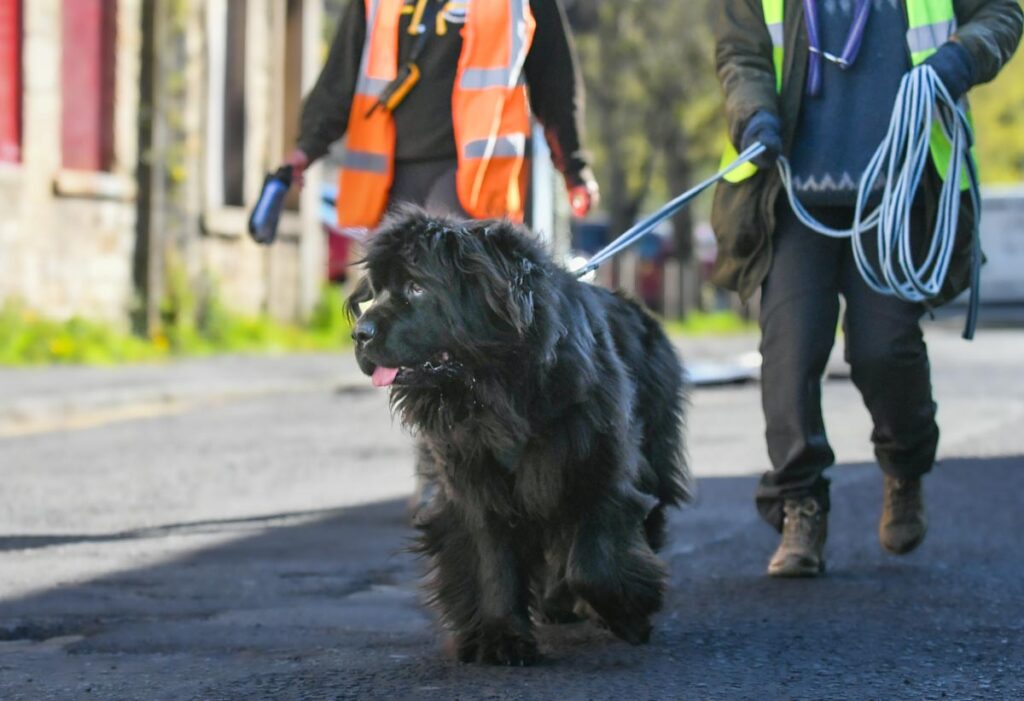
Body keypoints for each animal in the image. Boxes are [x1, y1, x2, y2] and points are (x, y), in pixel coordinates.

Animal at [348, 206, 692, 663]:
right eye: (378, 290)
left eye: (416, 288)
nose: (359, 333)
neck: (503, 391)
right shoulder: (474, 480)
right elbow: (492, 559)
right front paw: (500, 638)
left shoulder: (596, 463)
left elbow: (594, 559)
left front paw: (627, 611)